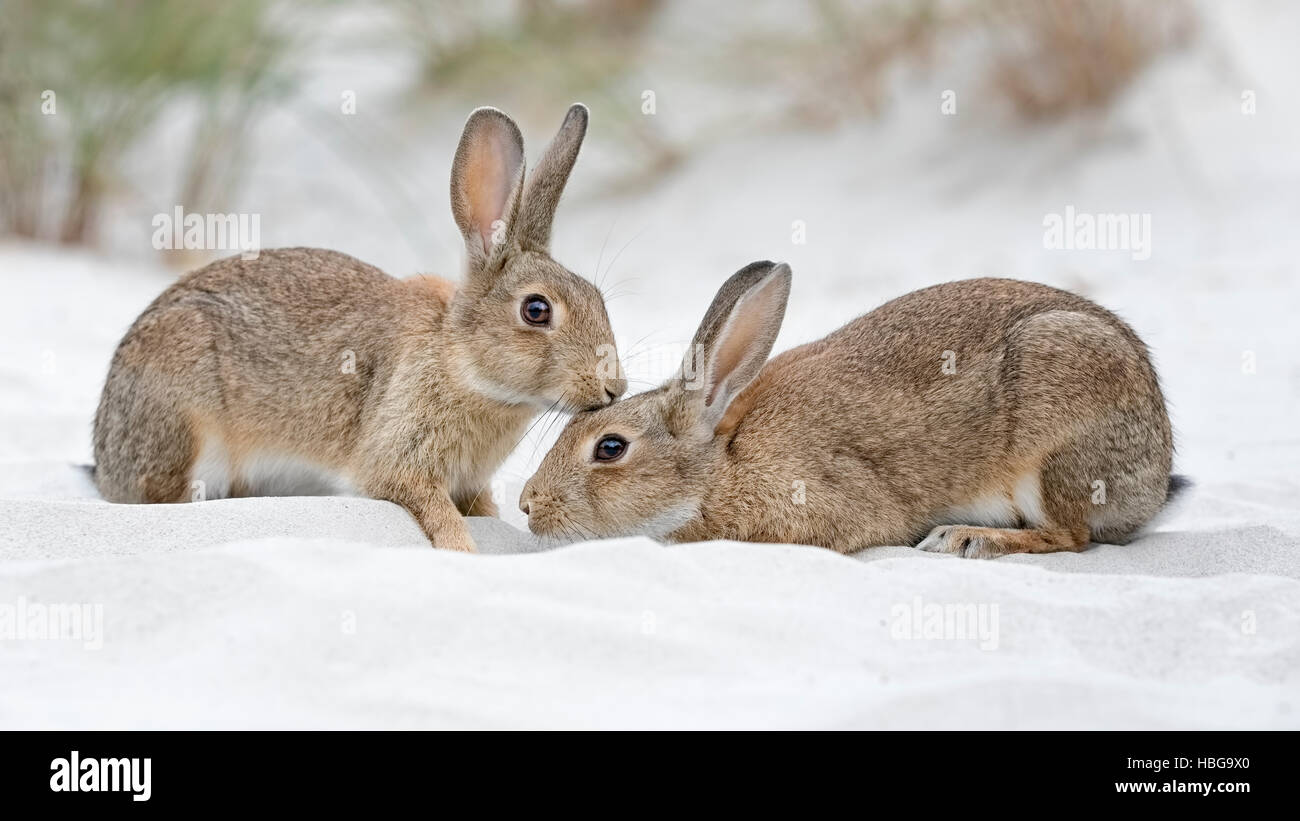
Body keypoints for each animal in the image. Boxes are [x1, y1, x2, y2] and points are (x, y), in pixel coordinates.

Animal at [93, 104, 627, 552]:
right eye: (536, 310)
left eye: (599, 300)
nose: (613, 387)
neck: (461, 362)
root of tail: (104, 454)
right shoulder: (399, 461)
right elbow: (431, 508)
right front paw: (464, 551)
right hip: (185, 425)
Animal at [520, 261, 1182, 558]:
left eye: (610, 448)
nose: (528, 505)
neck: (719, 466)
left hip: (1054, 442)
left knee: (1070, 536)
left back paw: (965, 538)